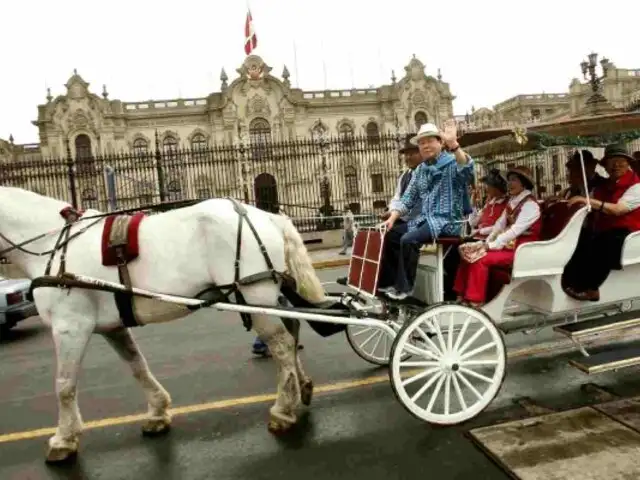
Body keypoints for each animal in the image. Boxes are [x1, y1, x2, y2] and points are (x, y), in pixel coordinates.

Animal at [0, 187, 328, 462]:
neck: (52, 243)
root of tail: (267, 215)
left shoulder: (70, 325)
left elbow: (64, 385)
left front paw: (64, 439)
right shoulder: (112, 326)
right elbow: (137, 366)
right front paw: (157, 411)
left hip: (255, 294)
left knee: (282, 344)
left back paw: (283, 409)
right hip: (267, 295)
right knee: (291, 332)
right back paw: (301, 387)